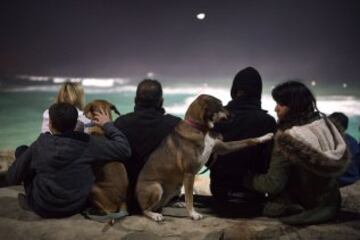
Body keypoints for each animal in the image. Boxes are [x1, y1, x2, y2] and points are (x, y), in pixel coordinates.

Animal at [135, 94, 272, 221]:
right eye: (219, 105)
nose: (233, 115)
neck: (201, 129)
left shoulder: (222, 148)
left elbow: (249, 140)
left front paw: (267, 136)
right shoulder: (189, 173)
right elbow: (190, 197)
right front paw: (193, 214)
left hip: (175, 188)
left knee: (160, 204)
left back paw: (176, 203)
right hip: (156, 187)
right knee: (145, 210)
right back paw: (155, 215)